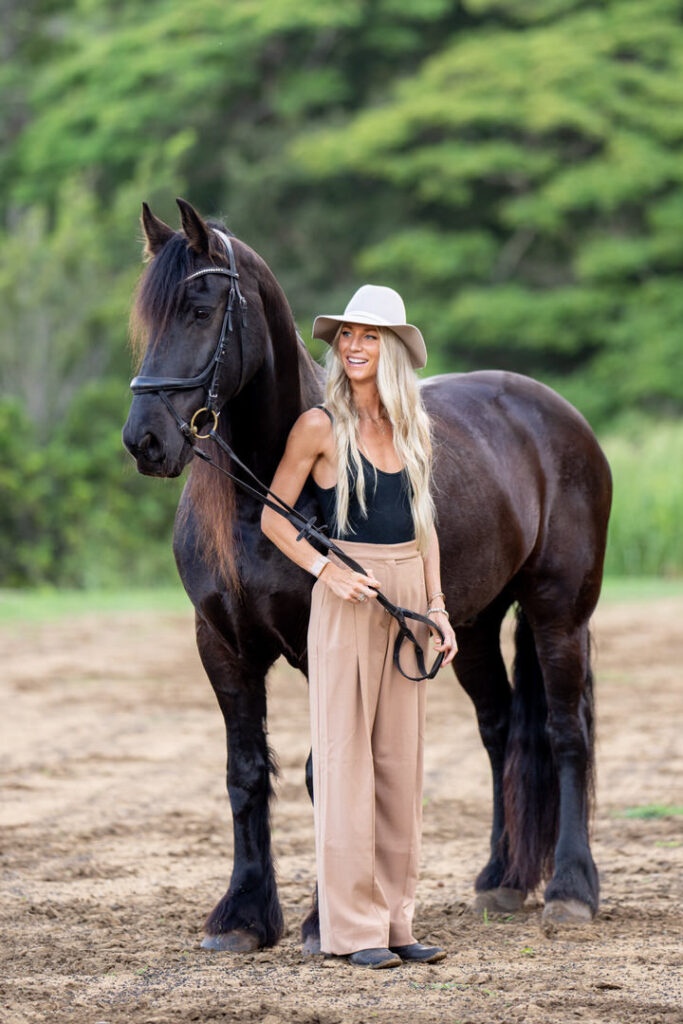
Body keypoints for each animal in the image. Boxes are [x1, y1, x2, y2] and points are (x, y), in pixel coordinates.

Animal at [122, 199, 614, 950]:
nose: (145, 441)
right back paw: (501, 879)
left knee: (566, 732)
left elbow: (325, 771)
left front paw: (323, 921)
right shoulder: (222, 646)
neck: (264, 497)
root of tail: (555, 413)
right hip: (468, 627)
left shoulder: (321, 642)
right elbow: (245, 773)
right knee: (502, 729)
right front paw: (241, 915)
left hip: (559, 613)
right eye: (147, 321)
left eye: (201, 311)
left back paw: (569, 890)